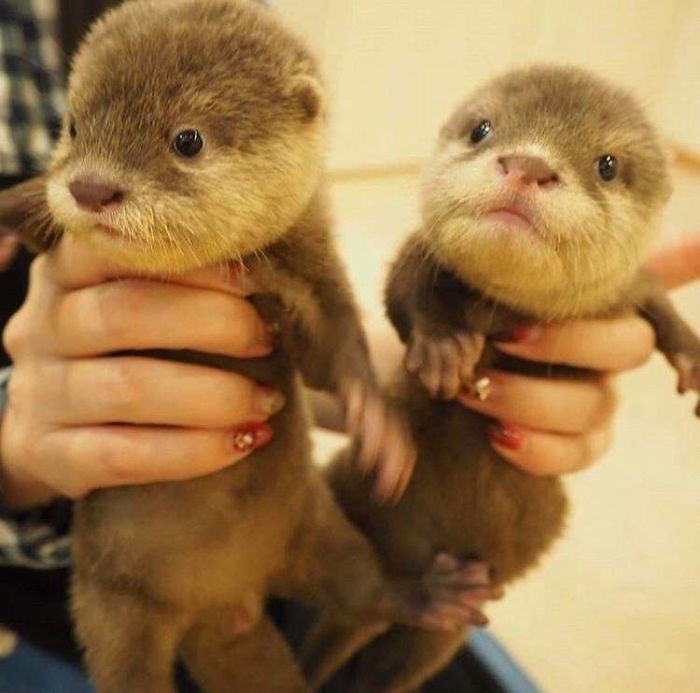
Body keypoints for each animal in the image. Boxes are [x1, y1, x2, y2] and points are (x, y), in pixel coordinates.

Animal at [0, 1, 502, 691]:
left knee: (368, 590)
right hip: (110, 608)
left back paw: (433, 593)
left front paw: (381, 430)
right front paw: (10, 212)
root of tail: (224, 605)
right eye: (72, 127)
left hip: (317, 528)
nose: (91, 189)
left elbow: (339, 348)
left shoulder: (315, 269)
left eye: (187, 139)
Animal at [302, 65, 700, 692]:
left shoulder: (631, 289)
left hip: (440, 632)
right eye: (481, 129)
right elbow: (405, 288)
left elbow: (662, 308)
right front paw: (444, 348)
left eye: (608, 164)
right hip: (342, 484)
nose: (528, 164)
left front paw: (693, 360)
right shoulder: (419, 252)